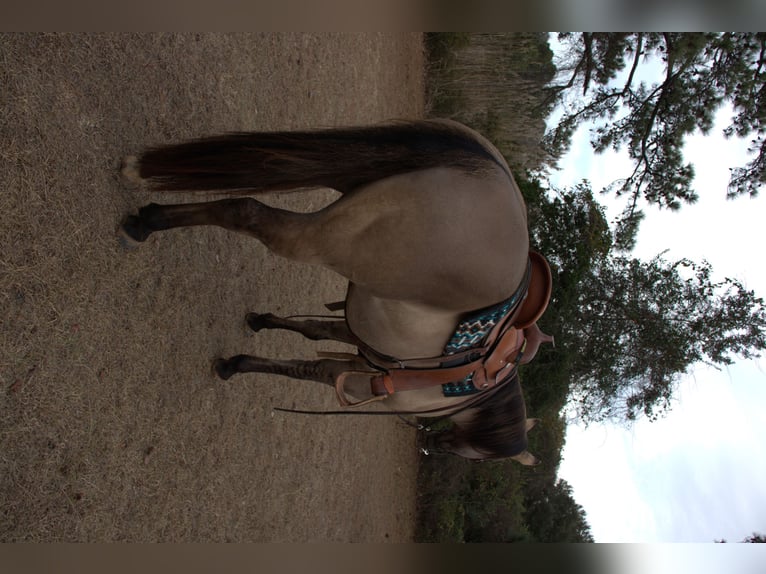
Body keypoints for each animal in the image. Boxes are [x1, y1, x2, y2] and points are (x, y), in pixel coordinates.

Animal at [120, 119, 554, 464]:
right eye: (481, 456)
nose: (433, 446)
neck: (464, 388)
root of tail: (491, 171)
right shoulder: (356, 381)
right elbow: (308, 369)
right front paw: (235, 365)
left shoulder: (362, 339)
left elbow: (314, 331)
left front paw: (261, 322)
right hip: (320, 239)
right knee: (247, 213)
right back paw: (146, 223)